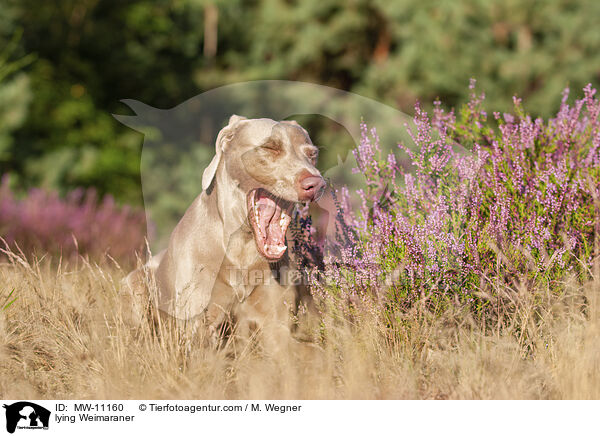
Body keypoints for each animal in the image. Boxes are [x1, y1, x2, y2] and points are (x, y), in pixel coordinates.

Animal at [122, 116, 326, 350]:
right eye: (270, 147)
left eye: (312, 154)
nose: (317, 184)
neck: (241, 247)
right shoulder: (199, 326)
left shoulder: (276, 327)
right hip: (134, 284)